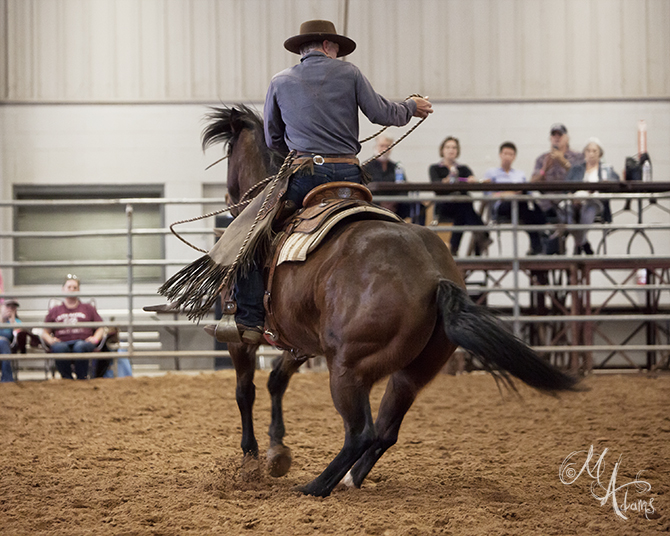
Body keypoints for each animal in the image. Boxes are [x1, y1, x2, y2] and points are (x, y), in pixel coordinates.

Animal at [201, 103, 576, 498]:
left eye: (230, 152)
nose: (229, 203)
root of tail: (434, 277)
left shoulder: (243, 339)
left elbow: (246, 390)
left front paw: (251, 459)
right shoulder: (299, 341)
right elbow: (276, 381)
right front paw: (277, 452)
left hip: (348, 369)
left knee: (360, 432)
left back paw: (315, 486)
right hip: (413, 372)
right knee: (385, 430)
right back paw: (349, 479)